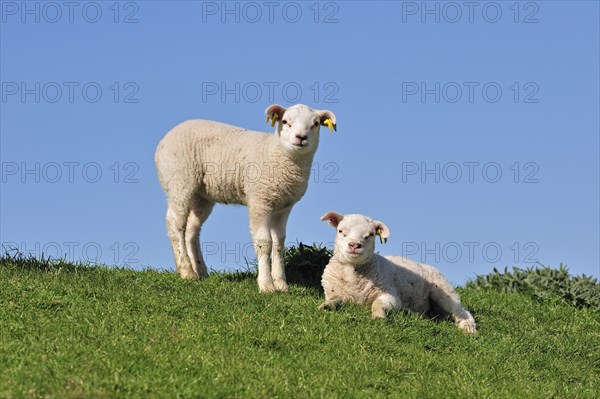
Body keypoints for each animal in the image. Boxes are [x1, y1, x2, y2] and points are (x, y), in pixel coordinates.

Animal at [155, 104, 338, 292]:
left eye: (315, 124)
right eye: (285, 121)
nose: (301, 137)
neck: (276, 153)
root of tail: (163, 141)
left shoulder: (283, 207)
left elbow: (279, 244)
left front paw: (281, 285)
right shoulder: (259, 201)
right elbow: (264, 242)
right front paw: (266, 285)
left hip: (201, 195)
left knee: (192, 229)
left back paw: (200, 271)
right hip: (179, 181)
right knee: (175, 224)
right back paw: (185, 270)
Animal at [318, 212, 478, 334]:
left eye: (370, 234)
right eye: (340, 231)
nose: (354, 245)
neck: (353, 272)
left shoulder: (391, 296)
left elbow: (377, 304)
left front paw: (379, 318)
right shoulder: (335, 293)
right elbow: (333, 300)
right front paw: (325, 306)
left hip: (444, 291)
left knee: (461, 312)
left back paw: (469, 328)